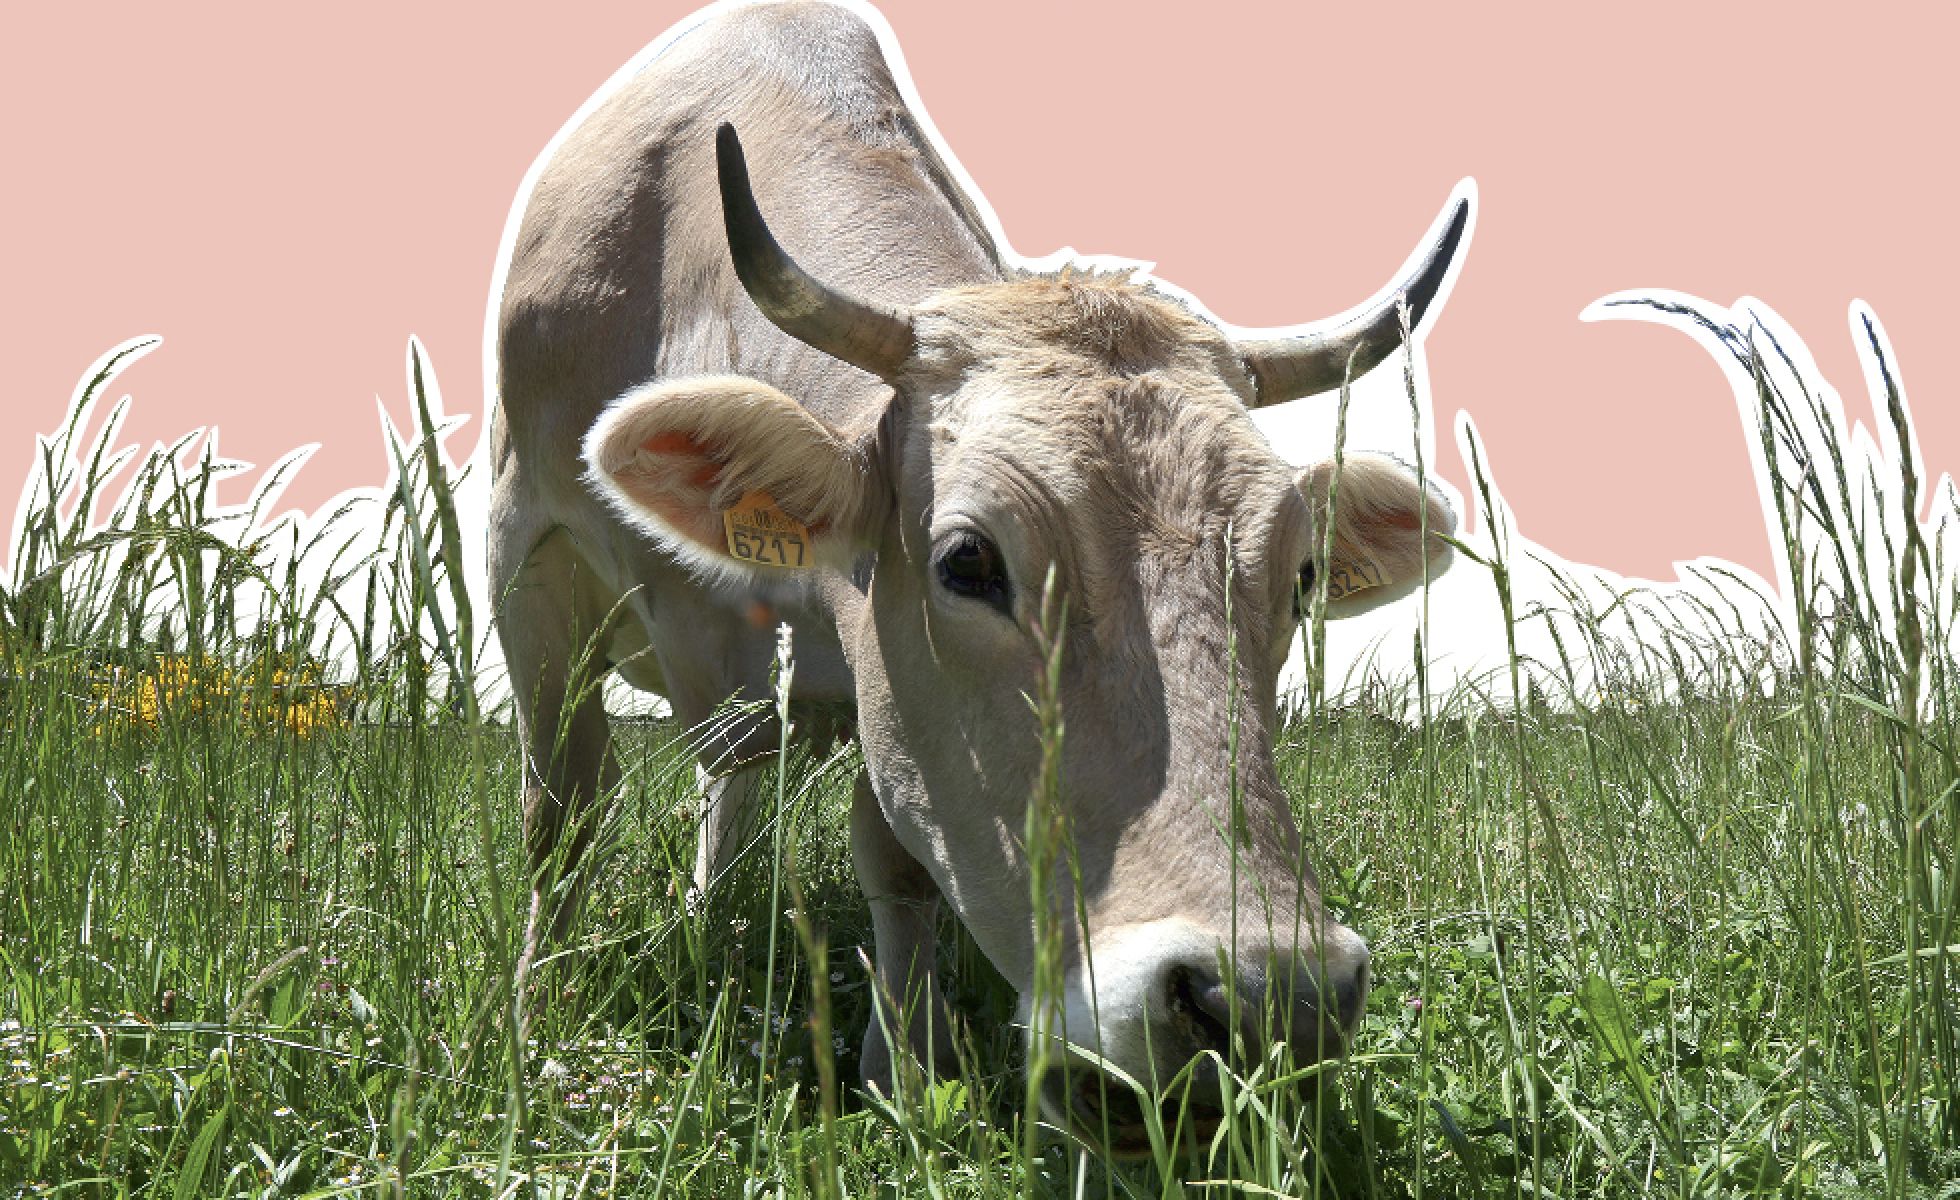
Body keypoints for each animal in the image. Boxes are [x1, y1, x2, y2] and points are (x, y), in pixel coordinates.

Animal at [489, 0, 1466, 1150]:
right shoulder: (524, 556)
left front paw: (903, 1068)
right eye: (968, 561)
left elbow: (898, 855)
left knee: (734, 774)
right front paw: (537, 1003)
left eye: (1301, 575)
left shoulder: (878, 666)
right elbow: (559, 808)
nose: (1277, 993)